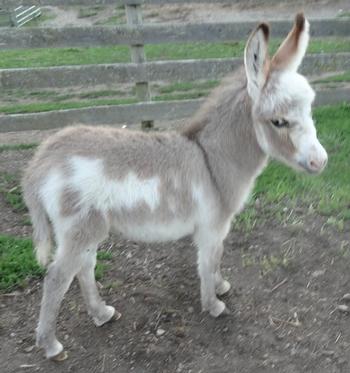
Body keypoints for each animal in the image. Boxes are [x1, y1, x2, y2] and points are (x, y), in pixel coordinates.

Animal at [22, 13, 328, 358]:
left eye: (309, 110)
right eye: (278, 121)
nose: (321, 162)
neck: (211, 158)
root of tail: (40, 162)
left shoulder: (219, 226)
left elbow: (217, 259)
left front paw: (221, 286)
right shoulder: (211, 226)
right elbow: (207, 263)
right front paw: (213, 304)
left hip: (88, 229)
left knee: (84, 269)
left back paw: (102, 313)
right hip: (77, 228)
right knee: (57, 277)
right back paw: (50, 344)